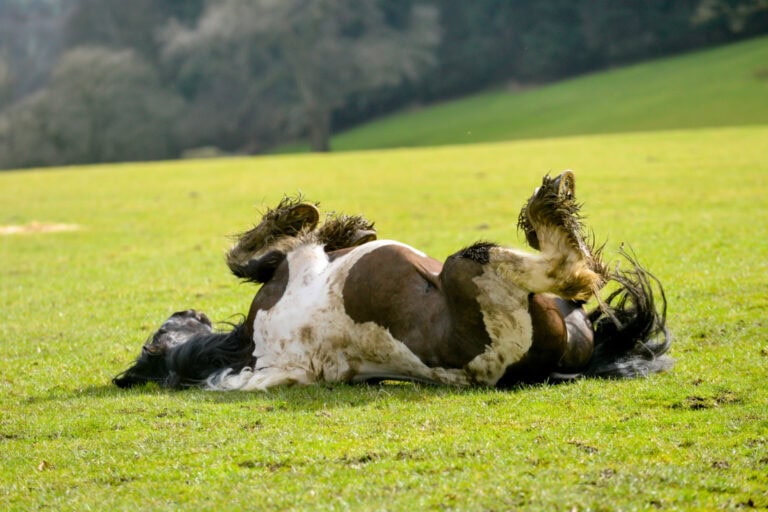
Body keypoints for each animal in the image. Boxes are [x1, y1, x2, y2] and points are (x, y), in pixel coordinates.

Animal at [113, 171, 672, 390]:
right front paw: (318, 219)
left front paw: (350, 227)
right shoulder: (284, 266)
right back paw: (550, 203)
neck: (245, 348)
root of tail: (541, 364)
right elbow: (243, 256)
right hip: (473, 264)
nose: (191, 311)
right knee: (568, 266)